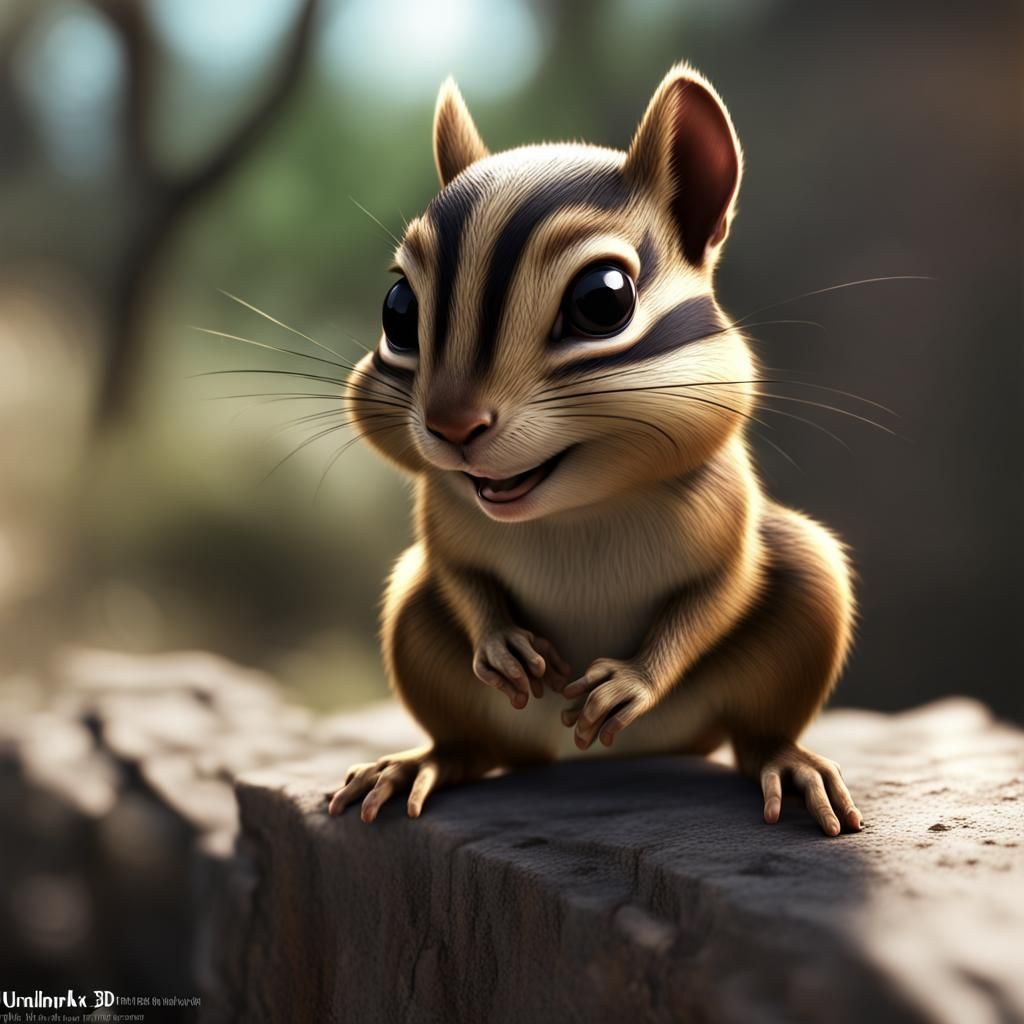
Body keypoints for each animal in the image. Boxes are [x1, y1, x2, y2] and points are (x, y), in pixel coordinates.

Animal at [327, 63, 862, 837]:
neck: (574, 510)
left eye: (602, 300)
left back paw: (790, 768)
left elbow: (718, 591)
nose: (452, 424)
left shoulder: (730, 516)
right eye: (398, 311)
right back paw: (415, 767)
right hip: (412, 620)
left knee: (756, 734)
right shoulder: (440, 527)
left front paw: (631, 680)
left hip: (809, 589)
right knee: (469, 744)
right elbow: (462, 575)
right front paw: (502, 643)